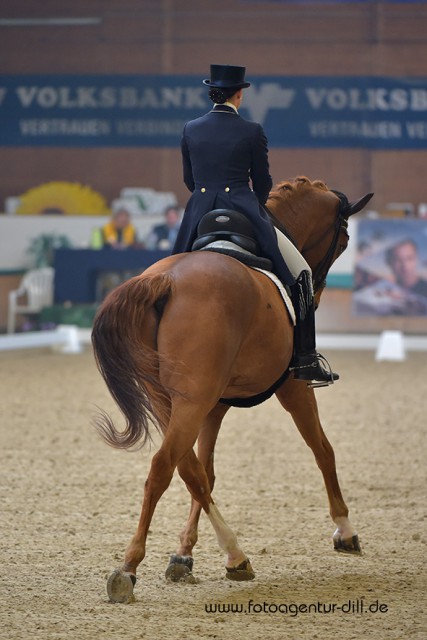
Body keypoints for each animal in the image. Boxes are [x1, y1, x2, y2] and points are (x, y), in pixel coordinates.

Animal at [92, 178, 372, 604]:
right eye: (343, 241)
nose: (320, 291)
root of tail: (165, 281)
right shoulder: (294, 388)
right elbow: (323, 450)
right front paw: (345, 530)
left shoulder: (215, 406)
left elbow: (203, 473)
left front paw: (184, 555)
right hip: (192, 401)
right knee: (160, 468)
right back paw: (132, 567)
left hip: (171, 400)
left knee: (183, 468)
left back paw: (230, 555)